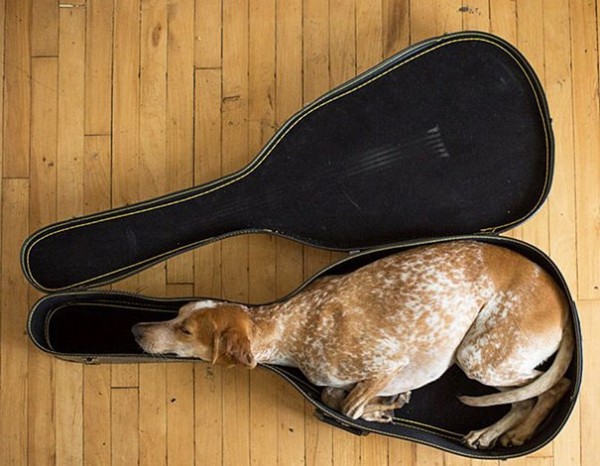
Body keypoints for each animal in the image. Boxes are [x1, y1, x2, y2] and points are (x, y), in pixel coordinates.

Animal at [134, 240, 576, 448]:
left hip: (478, 357)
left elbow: (348, 407)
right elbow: (335, 397)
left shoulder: (387, 364)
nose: (136, 330)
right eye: (176, 314)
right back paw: (489, 434)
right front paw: (384, 407)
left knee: (555, 386)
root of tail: (560, 295)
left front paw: (379, 410)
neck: (290, 325)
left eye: (186, 331)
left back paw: (516, 432)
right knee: (524, 398)